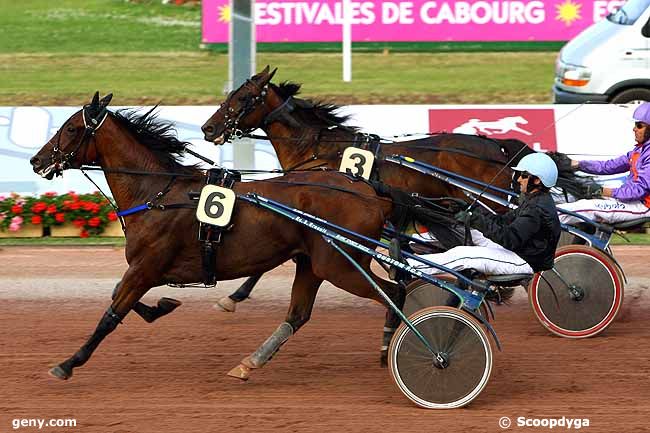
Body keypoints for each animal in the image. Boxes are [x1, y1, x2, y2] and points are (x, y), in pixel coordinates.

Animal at [31, 90, 404, 378]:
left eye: (71, 128)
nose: (37, 161)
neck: (156, 194)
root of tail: (371, 193)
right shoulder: (144, 271)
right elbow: (119, 297)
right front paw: (163, 306)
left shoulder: (145, 269)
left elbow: (111, 315)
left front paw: (68, 363)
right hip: (312, 263)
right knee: (298, 315)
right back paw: (250, 363)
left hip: (338, 265)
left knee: (393, 291)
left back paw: (391, 342)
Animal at [199, 66, 584, 308]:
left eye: (242, 98)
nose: (208, 128)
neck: (319, 150)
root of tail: (500, 147)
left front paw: (233, 297)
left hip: (497, 203)